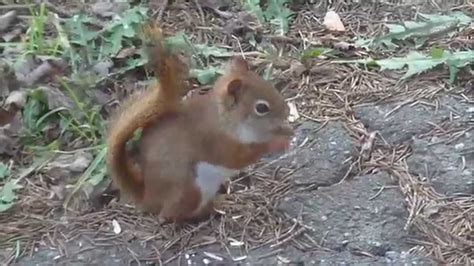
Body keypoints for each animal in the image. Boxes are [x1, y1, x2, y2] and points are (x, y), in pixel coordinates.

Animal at [105, 23, 294, 223]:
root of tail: (148, 197)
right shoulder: (217, 141)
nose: (287, 111)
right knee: (172, 214)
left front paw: (285, 130)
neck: (225, 118)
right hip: (190, 189)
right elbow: (240, 157)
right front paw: (276, 143)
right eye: (261, 108)